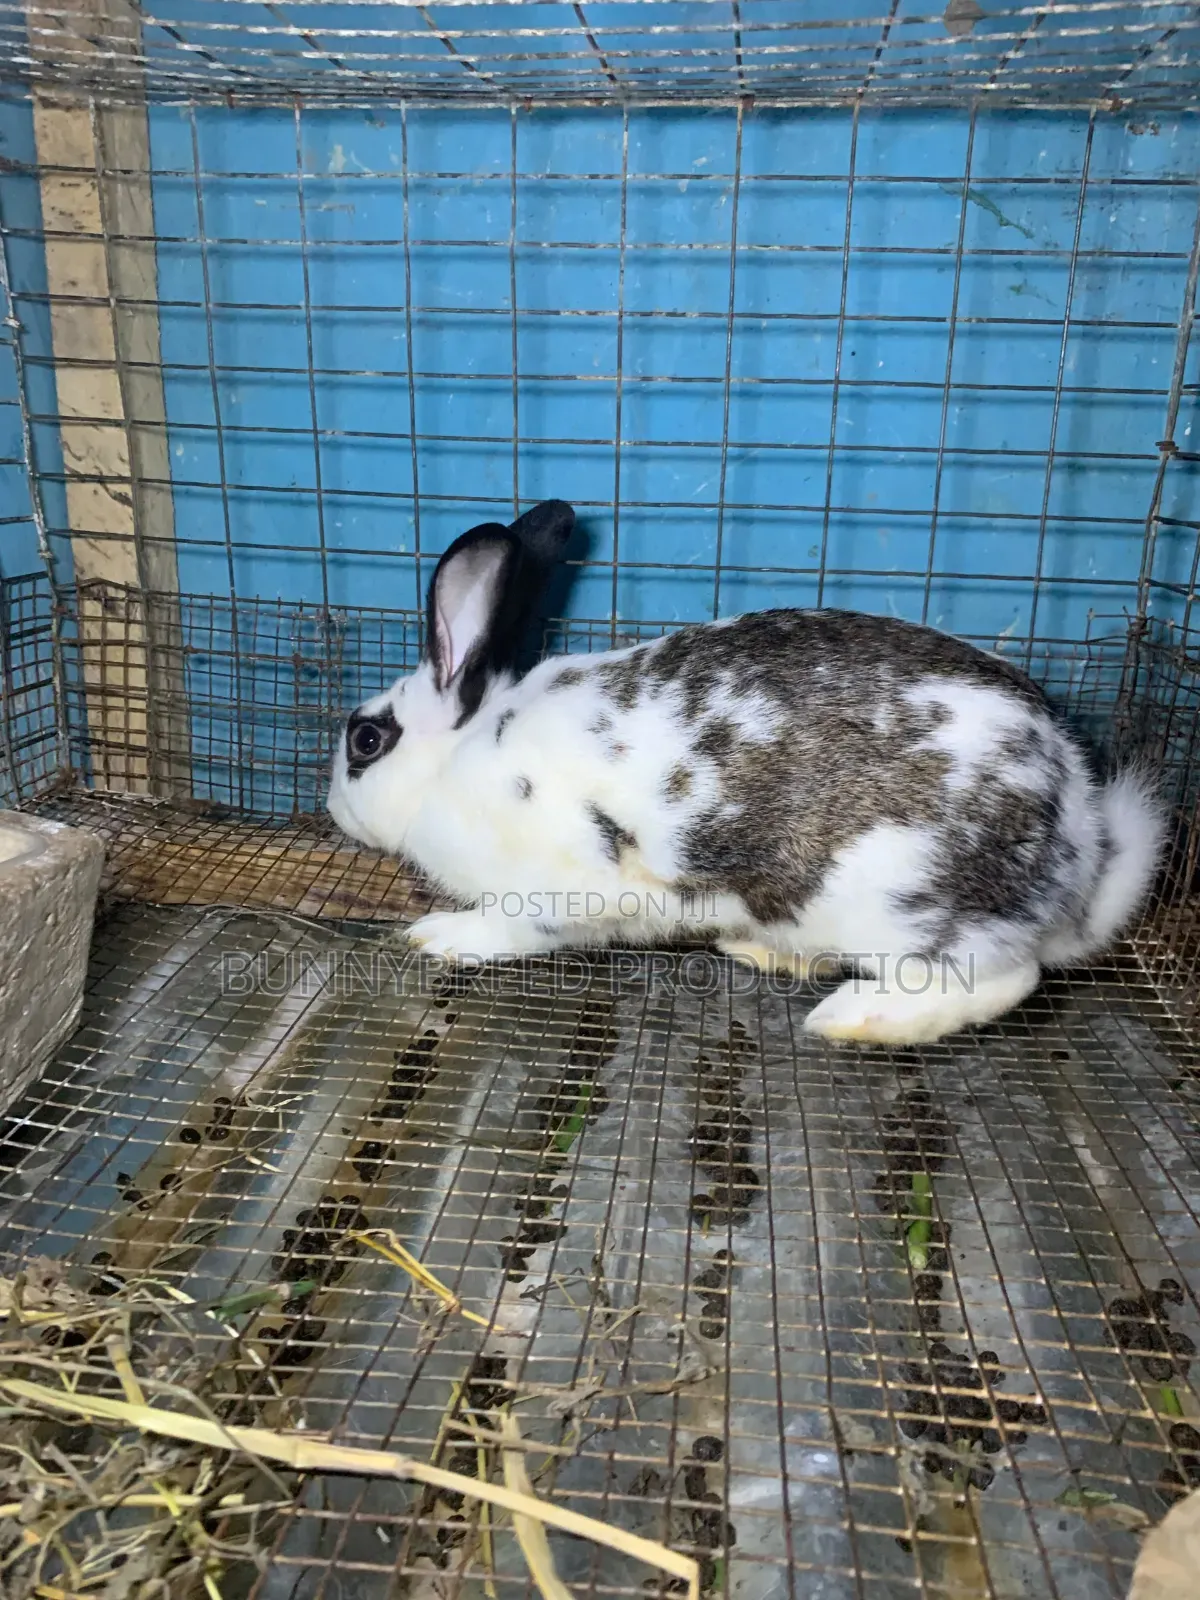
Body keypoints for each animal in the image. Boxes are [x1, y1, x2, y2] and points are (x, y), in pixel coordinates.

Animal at [327, 498, 1166, 1046]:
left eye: (366, 740)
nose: (331, 806)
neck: (458, 757)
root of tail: (1080, 855)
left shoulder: (553, 891)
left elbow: (510, 929)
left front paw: (436, 937)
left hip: (901, 913)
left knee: (1008, 980)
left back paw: (855, 1018)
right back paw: (761, 952)